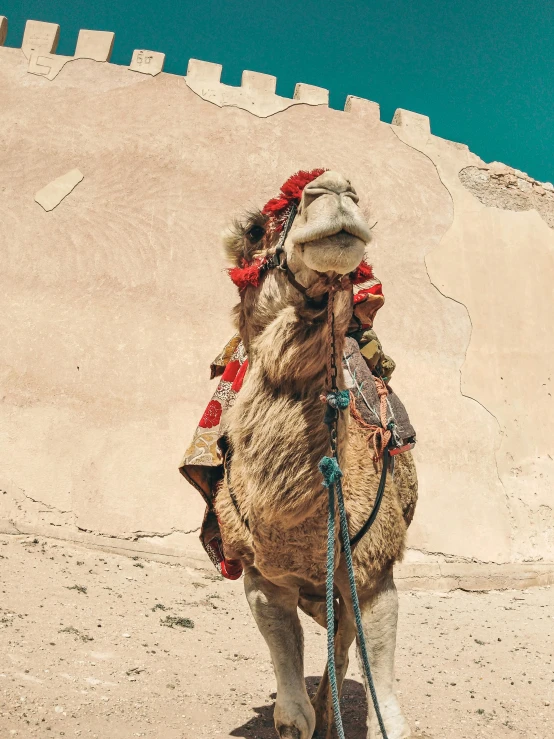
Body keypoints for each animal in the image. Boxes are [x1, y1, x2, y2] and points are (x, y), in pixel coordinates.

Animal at [211, 171, 414, 736]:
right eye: (256, 229)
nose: (336, 189)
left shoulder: (372, 574)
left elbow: (389, 713)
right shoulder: (262, 580)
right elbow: (290, 716)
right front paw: (306, 719)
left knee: (340, 654)